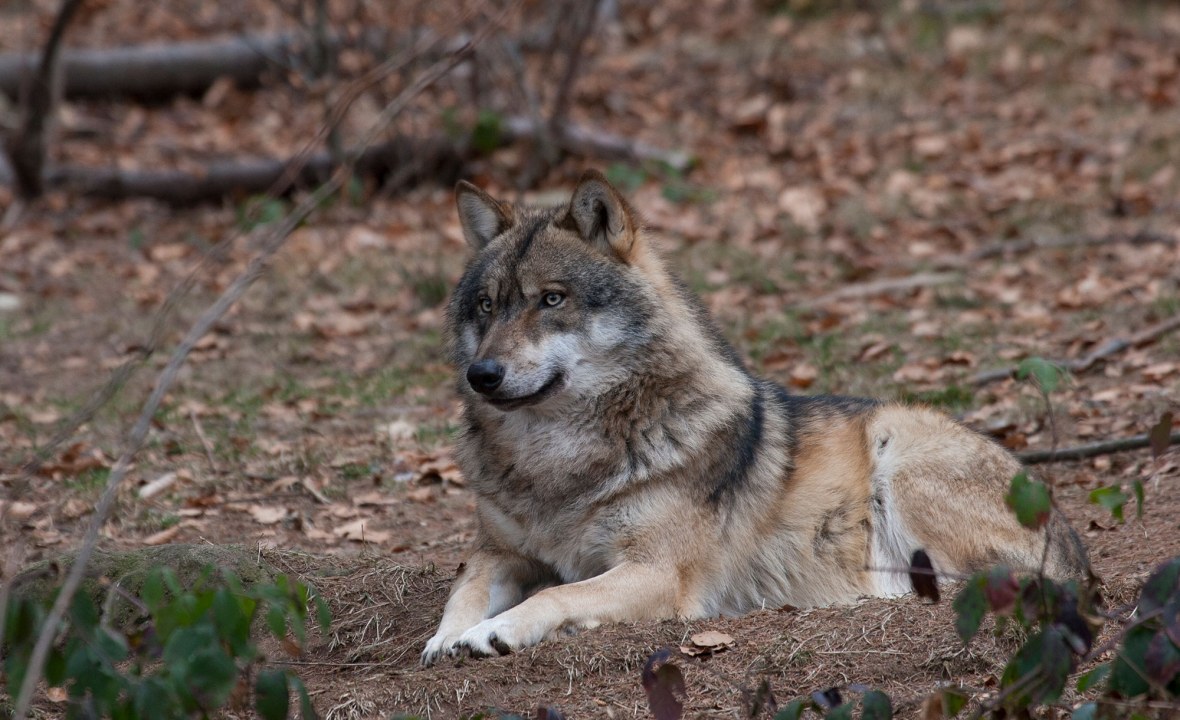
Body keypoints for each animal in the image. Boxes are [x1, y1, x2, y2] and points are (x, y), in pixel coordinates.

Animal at [420, 170, 1089, 666]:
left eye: (551, 299)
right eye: (487, 306)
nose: (482, 375)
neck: (557, 465)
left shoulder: (656, 572)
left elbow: (559, 591)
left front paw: (497, 630)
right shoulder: (498, 551)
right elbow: (463, 590)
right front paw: (447, 636)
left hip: (899, 448)